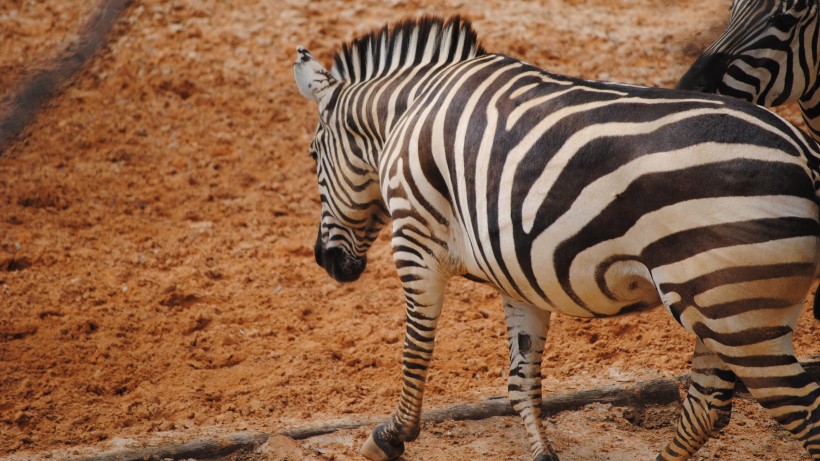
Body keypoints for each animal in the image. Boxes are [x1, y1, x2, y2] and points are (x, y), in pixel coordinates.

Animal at [294, 15, 820, 460]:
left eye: (313, 154)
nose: (323, 260)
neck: (408, 114)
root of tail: (805, 152)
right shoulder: (516, 267)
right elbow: (521, 377)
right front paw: (541, 450)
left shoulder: (414, 237)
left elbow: (416, 348)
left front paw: (391, 436)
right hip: (725, 307)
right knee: (705, 406)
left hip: (737, 313)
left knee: (799, 411)